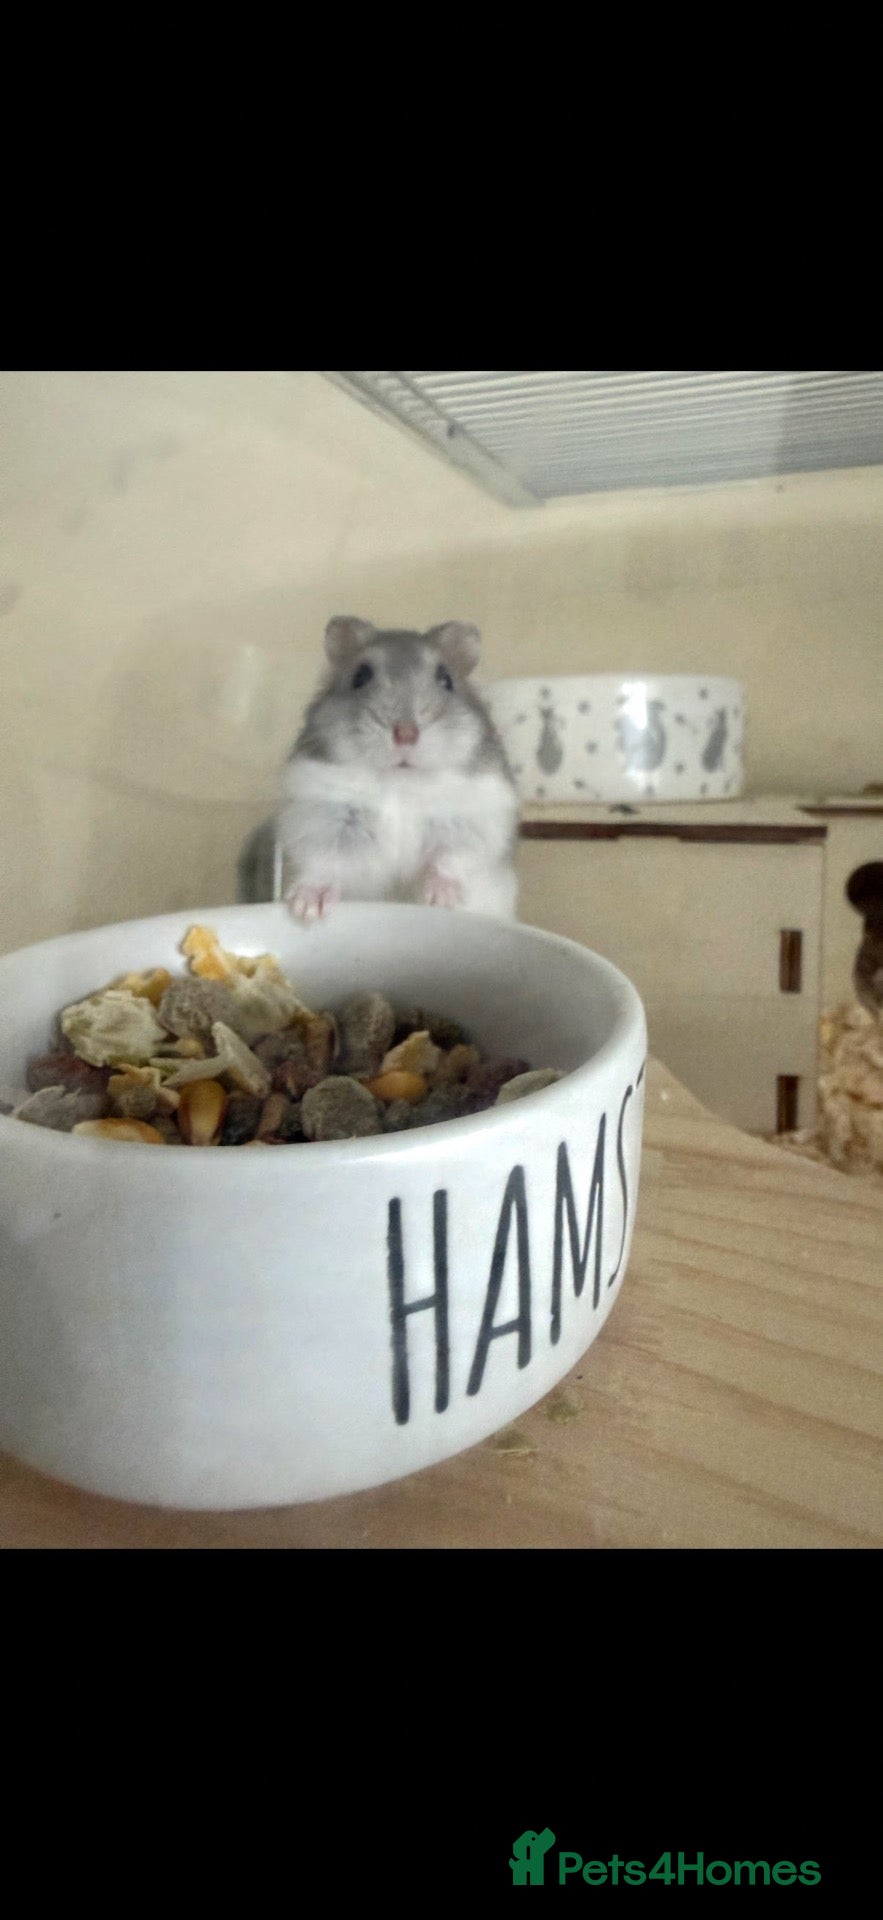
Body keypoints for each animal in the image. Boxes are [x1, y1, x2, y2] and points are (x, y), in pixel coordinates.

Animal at [277, 616, 520, 921]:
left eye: (446, 679)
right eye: (360, 677)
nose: (405, 734)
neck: (400, 781)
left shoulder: (472, 819)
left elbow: (449, 858)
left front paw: (441, 900)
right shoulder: (324, 816)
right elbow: (325, 861)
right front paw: (308, 908)